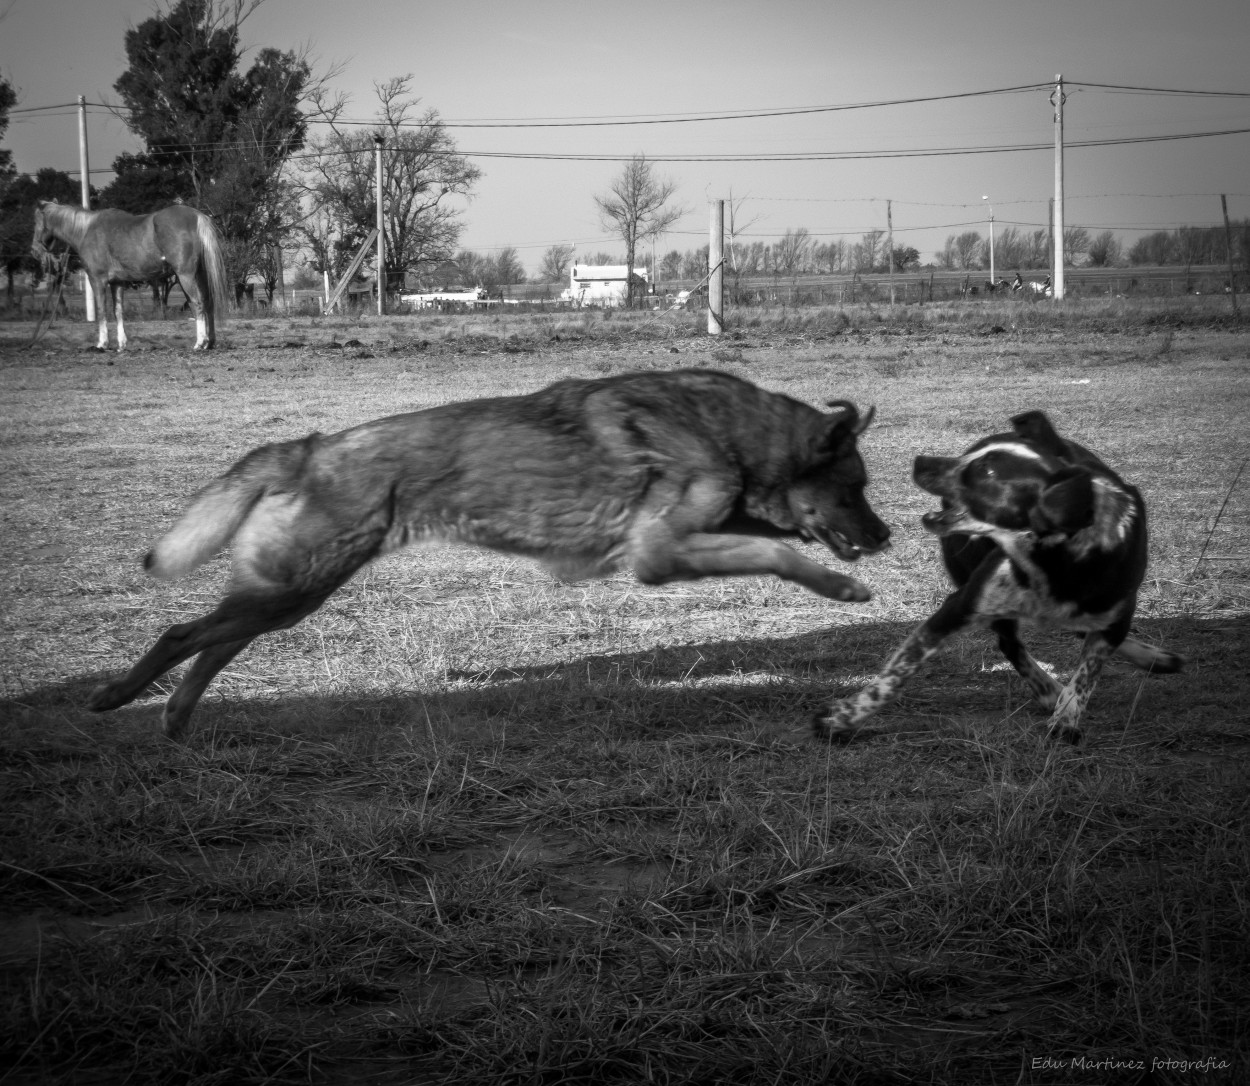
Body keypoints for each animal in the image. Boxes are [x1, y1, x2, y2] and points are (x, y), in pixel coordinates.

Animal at [32, 203, 230, 352]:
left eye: (36, 223)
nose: (34, 250)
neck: (86, 230)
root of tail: (197, 216)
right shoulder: (117, 283)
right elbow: (118, 311)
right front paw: (121, 344)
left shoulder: (97, 280)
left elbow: (102, 310)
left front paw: (102, 344)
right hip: (201, 274)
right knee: (208, 303)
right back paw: (210, 342)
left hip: (185, 275)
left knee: (197, 303)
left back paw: (199, 343)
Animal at [90, 367, 890, 734]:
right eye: (856, 487)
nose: (886, 536)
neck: (730, 433)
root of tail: (309, 447)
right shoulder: (658, 557)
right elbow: (780, 557)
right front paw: (844, 591)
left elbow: (774, 548)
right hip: (292, 589)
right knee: (182, 633)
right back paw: (119, 697)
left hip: (288, 595)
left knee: (214, 644)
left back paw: (174, 718)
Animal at [810, 409, 1180, 744]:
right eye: (973, 458)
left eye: (986, 471)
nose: (920, 461)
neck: (1050, 558)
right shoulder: (960, 606)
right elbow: (894, 676)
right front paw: (845, 717)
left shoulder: (1114, 614)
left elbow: (1087, 674)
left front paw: (1067, 718)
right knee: (1010, 643)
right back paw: (1048, 689)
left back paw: (1151, 659)